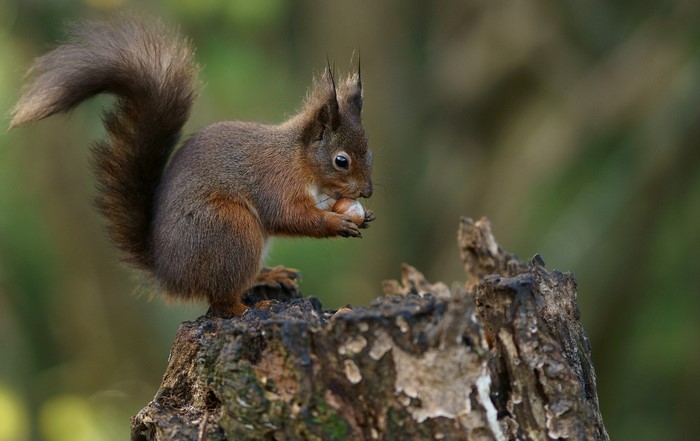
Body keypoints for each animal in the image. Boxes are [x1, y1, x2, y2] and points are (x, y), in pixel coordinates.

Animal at [10, 17, 375, 317]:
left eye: (369, 152)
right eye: (341, 161)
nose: (368, 191)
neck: (298, 159)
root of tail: (170, 274)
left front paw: (362, 215)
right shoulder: (275, 182)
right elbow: (290, 216)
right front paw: (337, 222)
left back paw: (267, 275)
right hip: (231, 228)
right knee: (222, 301)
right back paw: (248, 307)